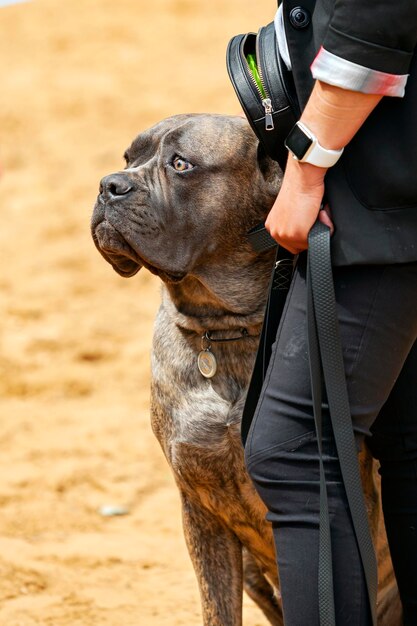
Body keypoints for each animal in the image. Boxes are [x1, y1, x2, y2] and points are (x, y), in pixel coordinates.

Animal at [91, 113, 400, 624]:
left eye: (181, 164)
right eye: (128, 158)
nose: (108, 185)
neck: (224, 331)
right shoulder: (200, 510)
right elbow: (218, 608)